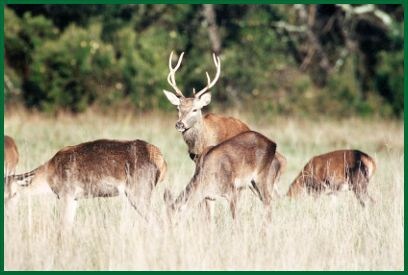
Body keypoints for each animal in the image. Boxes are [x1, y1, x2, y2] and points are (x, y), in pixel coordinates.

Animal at [3, 140, 167, 229]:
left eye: (13, 194)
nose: (7, 215)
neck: (49, 175)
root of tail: (161, 160)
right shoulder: (75, 198)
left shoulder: (67, 193)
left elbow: (63, 226)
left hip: (138, 191)